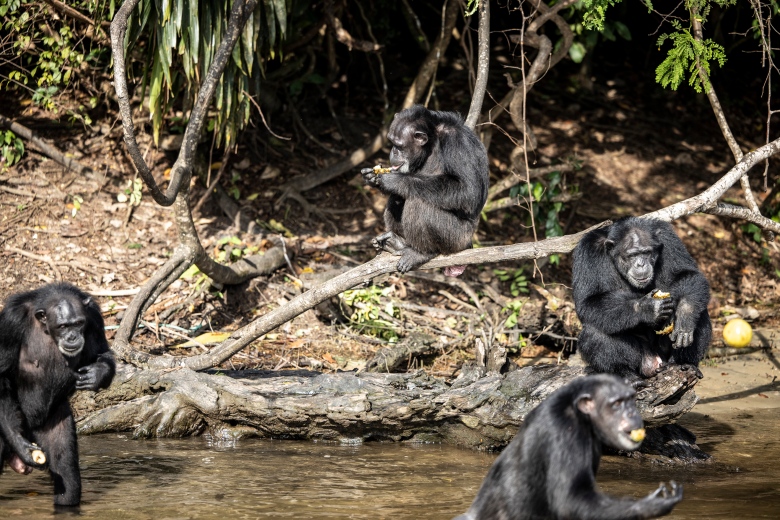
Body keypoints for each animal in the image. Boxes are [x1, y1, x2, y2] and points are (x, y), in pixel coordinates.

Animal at [0, 282, 114, 506]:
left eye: (78, 323)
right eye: (62, 326)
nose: (72, 336)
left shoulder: (94, 316)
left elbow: (101, 352)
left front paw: (97, 373)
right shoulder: (9, 322)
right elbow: (0, 374)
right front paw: (22, 446)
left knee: (66, 478)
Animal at [362, 104, 488, 278]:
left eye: (399, 145)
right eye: (392, 142)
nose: (393, 151)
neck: (431, 142)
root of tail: (468, 243)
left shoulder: (458, 142)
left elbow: (468, 190)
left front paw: (394, 180)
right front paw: (371, 177)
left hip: (458, 239)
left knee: (419, 203)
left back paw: (421, 253)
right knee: (398, 197)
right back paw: (397, 242)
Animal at [458, 374, 684, 520]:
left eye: (630, 400)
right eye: (617, 403)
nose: (632, 413)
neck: (580, 412)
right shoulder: (563, 429)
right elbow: (572, 500)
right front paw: (651, 504)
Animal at [568, 217, 708, 380]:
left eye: (646, 252)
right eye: (632, 255)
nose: (641, 264)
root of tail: (656, 363)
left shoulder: (668, 237)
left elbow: (686, 273)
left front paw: (685, 315)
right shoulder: (588, 250)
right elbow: (588, 300)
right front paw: (647, 307)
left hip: (665, 356)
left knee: (701, 313)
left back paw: (684, 363)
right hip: (641, 360)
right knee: (594, 329)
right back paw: (625, 375)